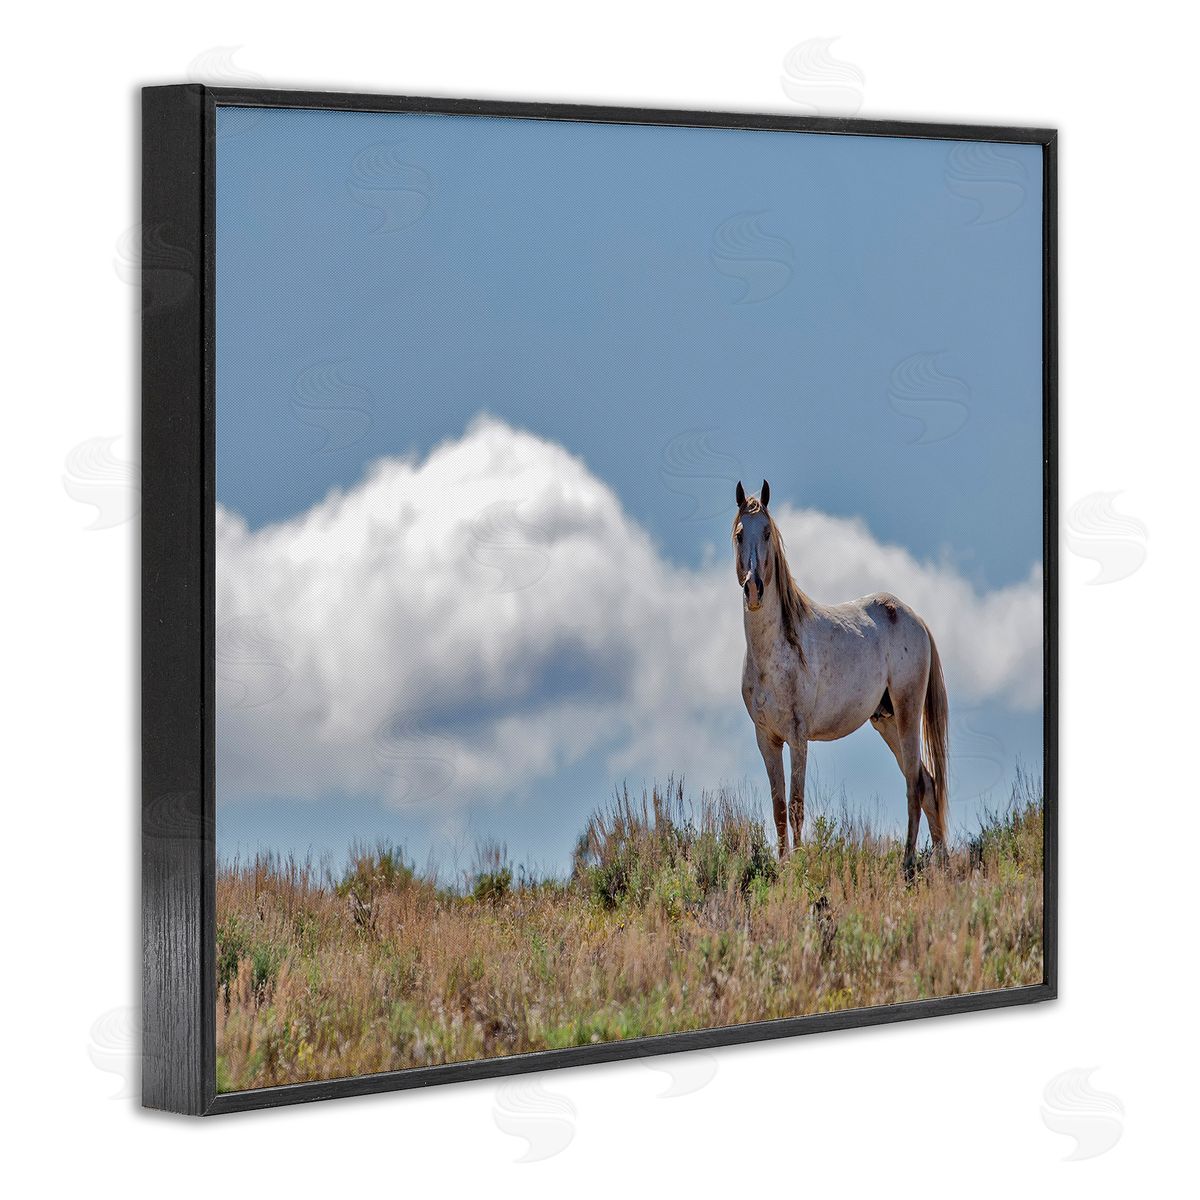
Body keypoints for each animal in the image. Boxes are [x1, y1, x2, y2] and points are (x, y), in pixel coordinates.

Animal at [733, 481, 949, 878]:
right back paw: (941, 864)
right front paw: (783, 866)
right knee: (927, 784)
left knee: (914, 785)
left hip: (908, 716)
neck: (773, 653)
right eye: (740, 534)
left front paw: (798, 865)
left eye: (768, 532)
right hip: (886, 722)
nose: (753, 589)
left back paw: (908, 864)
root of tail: (913, 617)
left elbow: (796, 805)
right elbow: (778, 806)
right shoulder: (767, 740)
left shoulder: (798, 737)